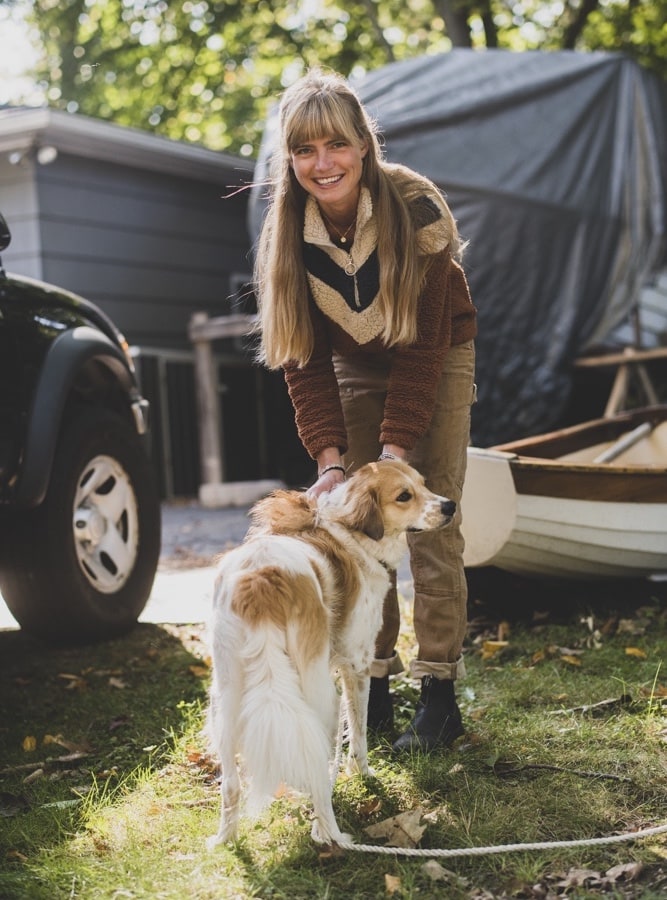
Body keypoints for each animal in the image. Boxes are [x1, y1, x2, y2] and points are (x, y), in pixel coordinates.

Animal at [204, 460, 454, 848]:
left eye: (424, 484)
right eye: (404, 496)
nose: (449, 506)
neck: (350, 534)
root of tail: (262, 579)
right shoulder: (358, 664)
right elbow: (358, 732)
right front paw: (362, 773)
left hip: (224, 696)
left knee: (231, 784)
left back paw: (226, 840)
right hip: (318, 689)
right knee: (315, 761)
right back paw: (330, 834)